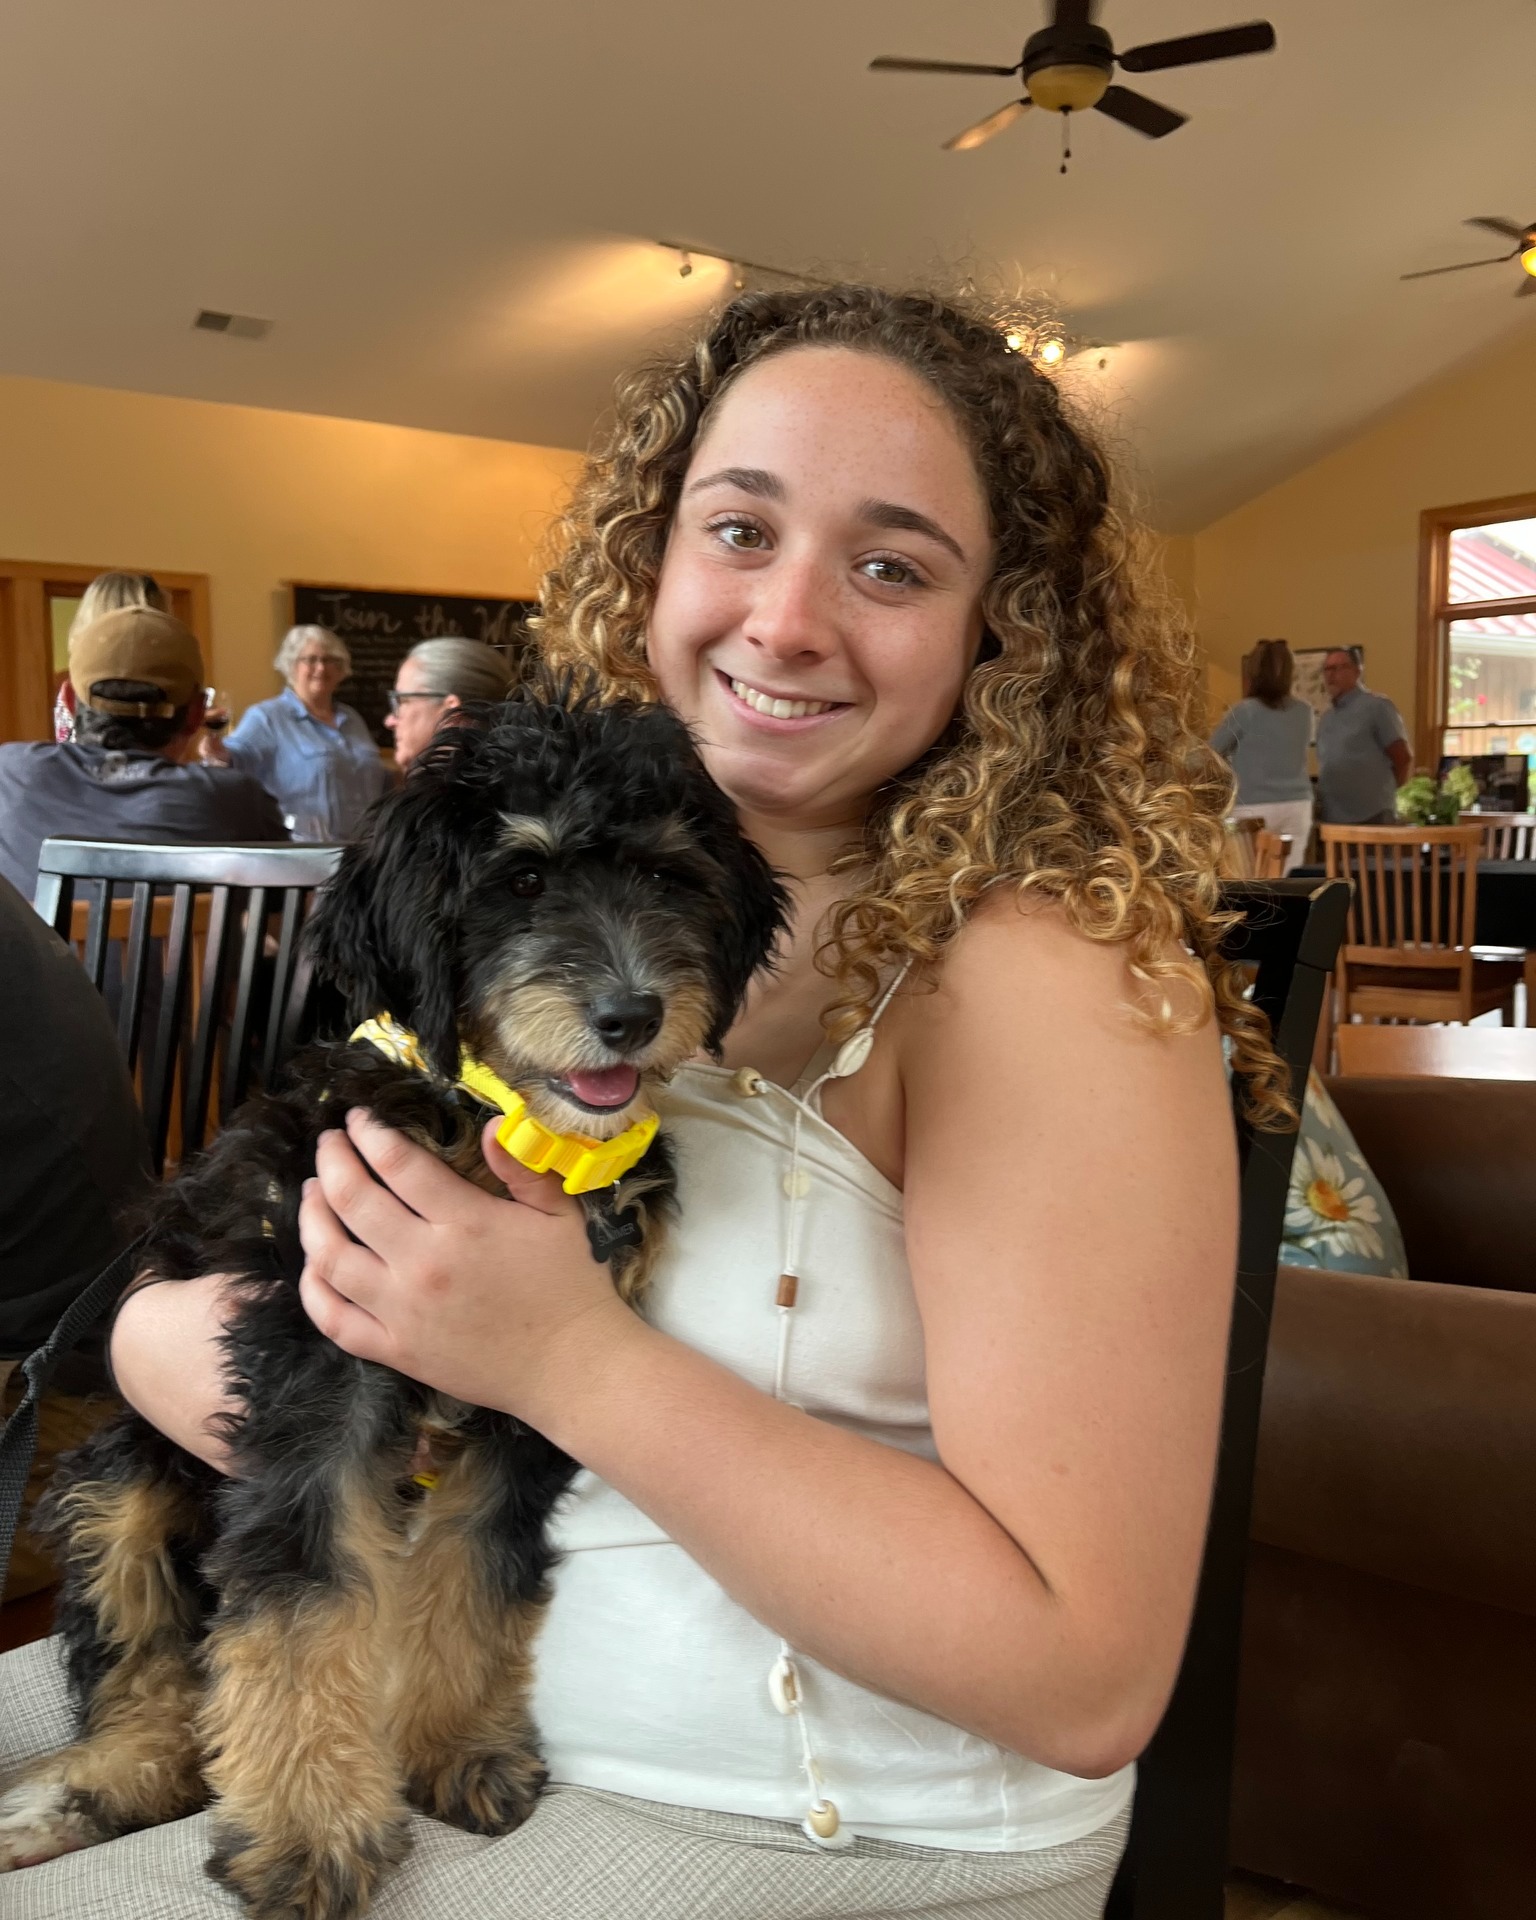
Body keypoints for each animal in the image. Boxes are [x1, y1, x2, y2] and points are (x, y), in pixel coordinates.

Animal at [0, 683, 787, 1920]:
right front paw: (309, 1830)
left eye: (670, 877)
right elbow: (303, 1599)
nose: (630, 1013)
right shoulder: (320, 1379)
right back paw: (100, 1782)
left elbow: (475, 1565)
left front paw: (456, 1747)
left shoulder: (530, 1389)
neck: (493, 1123)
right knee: (142, 1663)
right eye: (522, 879)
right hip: (115, 1477)